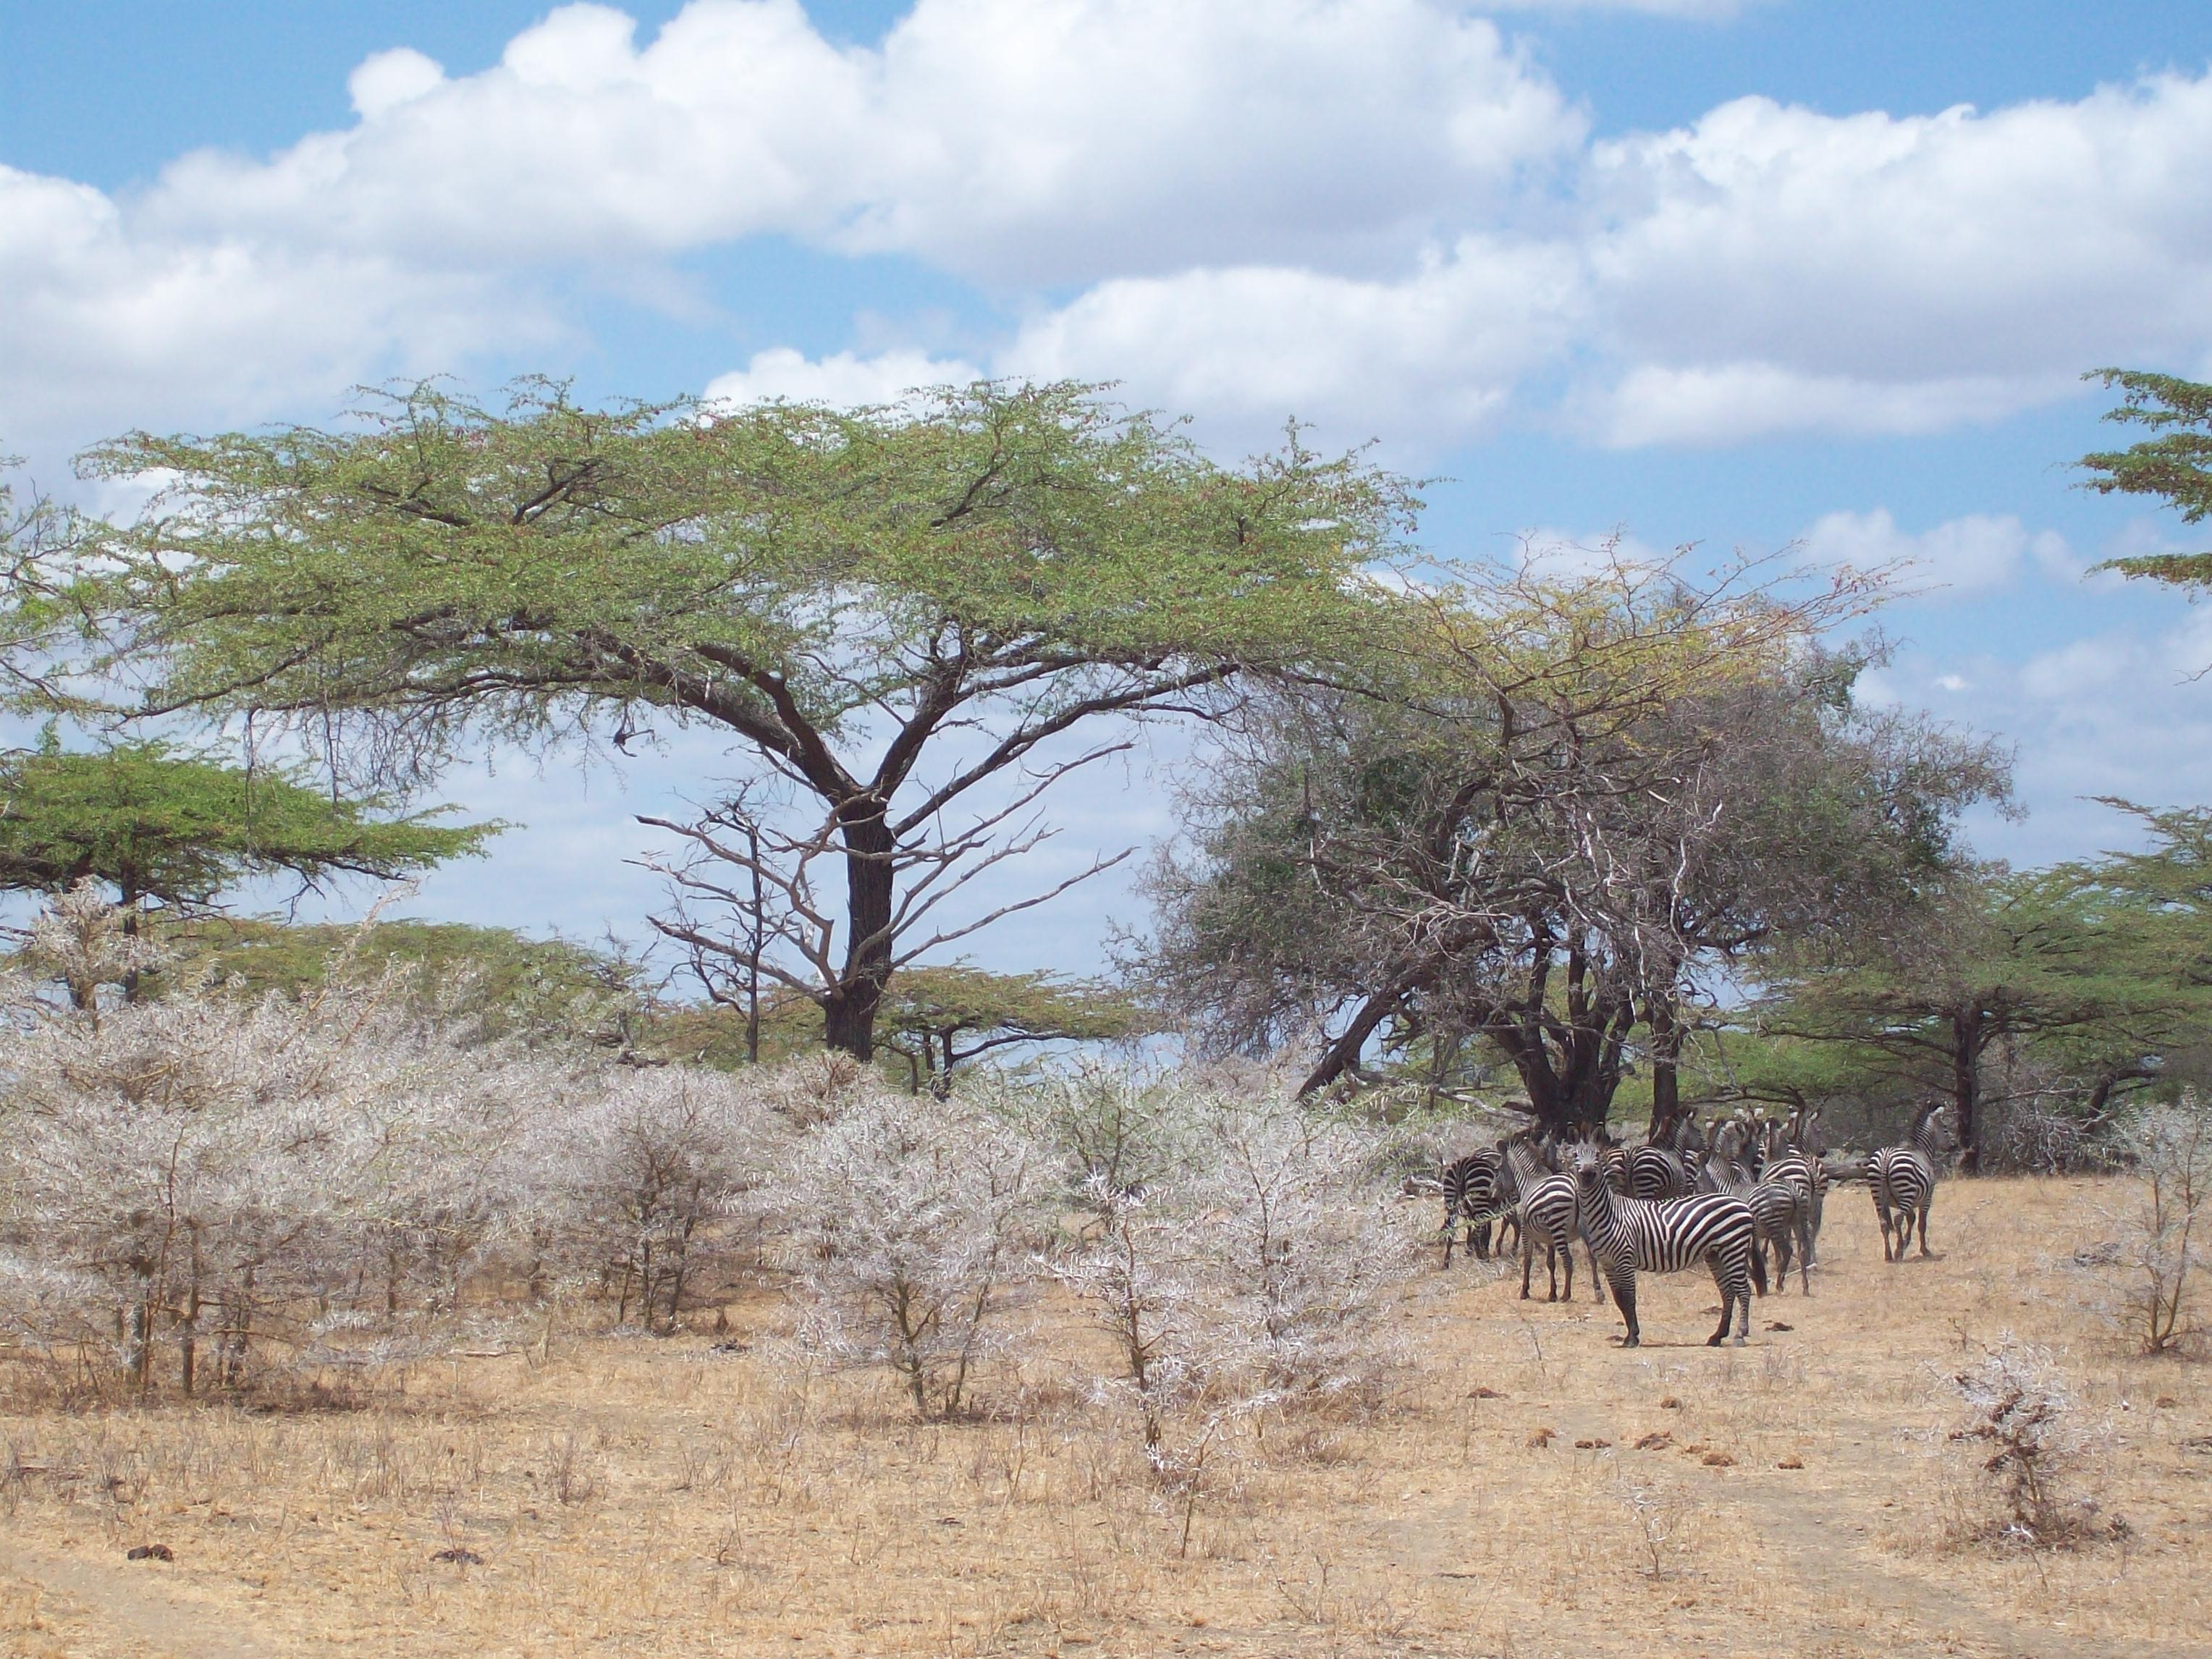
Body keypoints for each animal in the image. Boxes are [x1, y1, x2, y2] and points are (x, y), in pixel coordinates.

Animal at [1570, 1144, 1756, 1346]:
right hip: (1715, 1253)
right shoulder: (1608, 1263)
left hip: (1733, 1247)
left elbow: (1629, 1298)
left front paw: (1632, 1337)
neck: (1608, 1212)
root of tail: (1742, 1204)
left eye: (1597, 1155)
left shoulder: (1625, 1259)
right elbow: (1619, 1299)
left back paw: (1740, 1334)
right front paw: (1630, 1335)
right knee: (1728, 1291)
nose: (1588, 1174)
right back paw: (1718, 1335)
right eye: (1574, 1155)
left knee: (1744, 1290)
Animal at [1870, 1104, 1953, 1262]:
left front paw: (1905, 1243)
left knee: (1884, 1222)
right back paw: (1897, 1253)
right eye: (1945, 1127)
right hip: (1905, 1190)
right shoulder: (1926, 1198)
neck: (1922, 1150)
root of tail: (1886, 1157)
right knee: (1897, 1219)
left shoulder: (1910, 1201)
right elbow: (1921, 1224)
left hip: (1878, 1194)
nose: (1955, 1145)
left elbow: (1911, 1219)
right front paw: (1923, 1250)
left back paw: (1888, 1255)